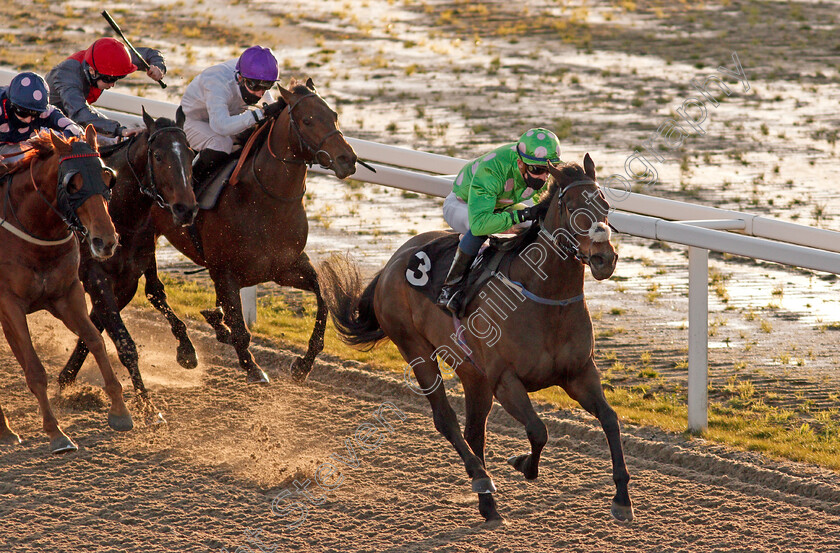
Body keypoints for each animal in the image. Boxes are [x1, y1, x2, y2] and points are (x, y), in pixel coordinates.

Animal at [0, 127, 133, 454]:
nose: (105, 240)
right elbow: (34, 369)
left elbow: (95, 340)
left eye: (107, 177)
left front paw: (120, 410)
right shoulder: (10, 303)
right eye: (73, 183)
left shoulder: (66, 294)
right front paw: (56, 432)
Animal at [57, 109, 199, 418]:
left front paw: (66, 377)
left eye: (191, 153)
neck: (121, 215)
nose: (186, 209)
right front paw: (148, 407)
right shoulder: (95, 277)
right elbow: (124, 344)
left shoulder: (128, 279)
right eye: (157, 156)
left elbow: (99, 325)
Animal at [149, 78, 356, 384]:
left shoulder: (286, 267)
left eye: (334, 115)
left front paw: (303, 365)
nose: (347, 159)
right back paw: (188, 350)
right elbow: (240, 329)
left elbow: (323, 300)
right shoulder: (225, 272)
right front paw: (252, 367)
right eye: (307, 120)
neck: (267, 201)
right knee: (154, 292)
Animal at [318, 154, 632, 520]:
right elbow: (538, 430)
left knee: (474, 431)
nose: (603, 258)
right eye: (570, 207)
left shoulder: (579, 373)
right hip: (415, 348)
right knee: (447, 421)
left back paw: (487, 504)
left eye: (605, 205)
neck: (546, 300)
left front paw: (622, 499)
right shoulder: (505, 380)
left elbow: (610, 420)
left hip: (472, 371)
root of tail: (392, 262)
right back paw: (481, 480)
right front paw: (522, 464)